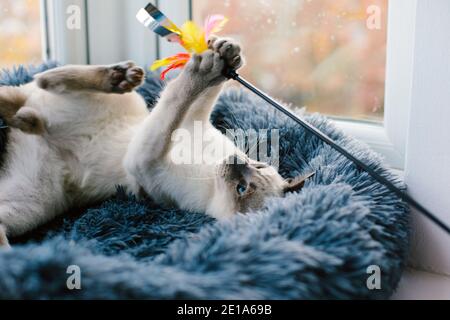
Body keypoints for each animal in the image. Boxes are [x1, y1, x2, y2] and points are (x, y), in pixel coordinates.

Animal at [0, 37, 310, 248]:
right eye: (258, 166)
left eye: (242, 189)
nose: (234, 161)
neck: (212, 171)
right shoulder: (193, 120)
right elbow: (196, 96)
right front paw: (225, 54)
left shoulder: (145, 159)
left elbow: (175, 100)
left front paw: (207, 65)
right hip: (129, 103)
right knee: (42, 82)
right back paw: (119, 76)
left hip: (37, 204)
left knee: (42, 83)